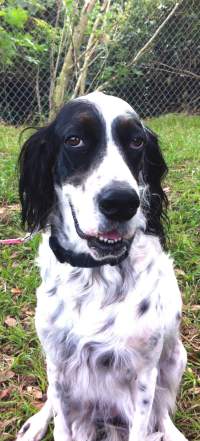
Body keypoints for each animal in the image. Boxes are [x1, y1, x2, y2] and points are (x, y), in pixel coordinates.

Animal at [16, 92, 187, 440]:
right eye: (75, 139)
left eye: (136, 141)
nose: (121, 203)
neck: (95, 275)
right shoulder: (60, 365)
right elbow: (61, 423)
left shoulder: (144, 374)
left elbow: (147, 418)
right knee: (50, 399)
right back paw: (35, 424)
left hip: (177, 357)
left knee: (163, 409)